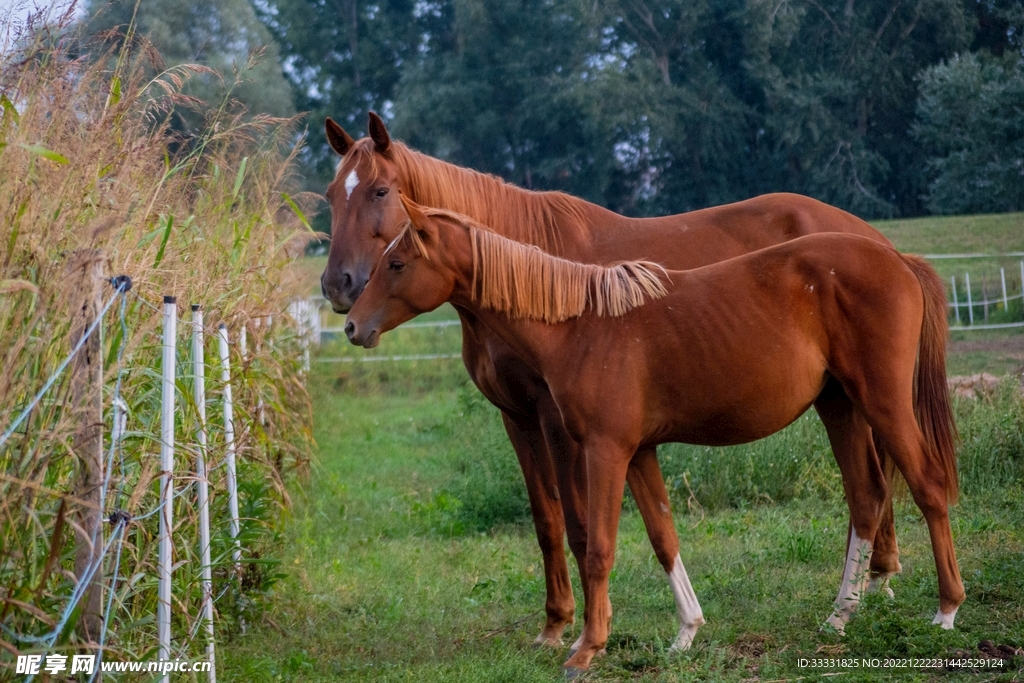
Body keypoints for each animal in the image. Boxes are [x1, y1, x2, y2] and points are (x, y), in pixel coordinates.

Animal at [319, 113, 903, 648]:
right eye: (329, 195)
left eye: (380, 191)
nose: (338, 287)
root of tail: (873, 238)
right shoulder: (516, 417)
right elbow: (546, 521)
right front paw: (555, 623)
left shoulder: (559, 421)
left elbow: (582, 525)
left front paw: (584, 627)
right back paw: (870, 584)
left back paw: (868, 587)